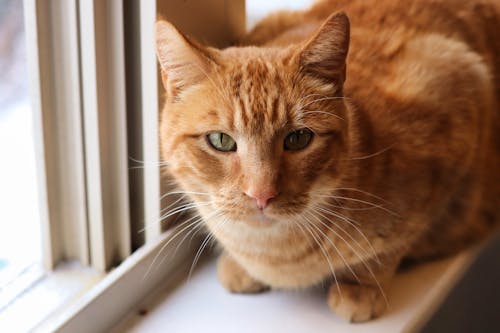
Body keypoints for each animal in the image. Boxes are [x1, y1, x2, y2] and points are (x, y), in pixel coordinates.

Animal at [154, 0, 498, 322]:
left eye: (298, 138)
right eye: (221, 141)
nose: (261, 194)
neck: (273, 254)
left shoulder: (460, 88)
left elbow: (393, 248)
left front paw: (361, 287)